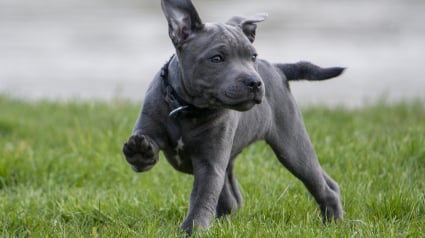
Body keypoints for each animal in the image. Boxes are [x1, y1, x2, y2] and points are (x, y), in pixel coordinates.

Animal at [121, 0, 342, 234]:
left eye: (253, 56)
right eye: (216, 58)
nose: (255, 82)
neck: (187, 109)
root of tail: (277, 68)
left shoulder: (210, 165)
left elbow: (201, 199)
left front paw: (192, 230)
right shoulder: (153, 127)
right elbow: (145, 146)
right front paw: (140, 151)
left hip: (292, 145)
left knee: (323, 186)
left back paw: (333, 224)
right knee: (232, 200)